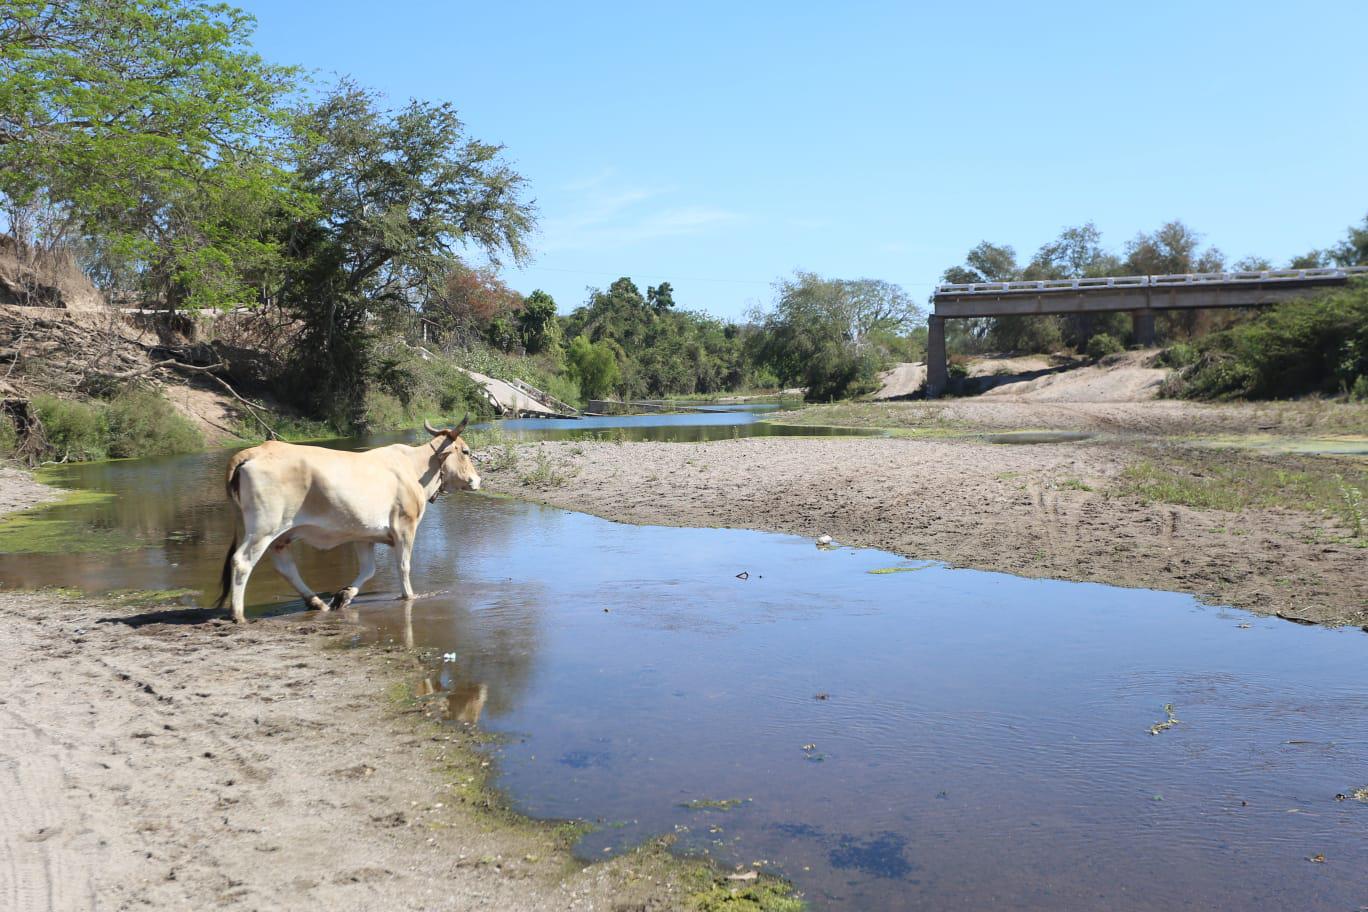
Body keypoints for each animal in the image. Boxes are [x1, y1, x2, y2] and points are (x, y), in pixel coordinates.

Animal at [210, 418, 484, 623]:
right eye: (466, 451)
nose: (477, 480)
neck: (416, 469)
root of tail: (254, 450)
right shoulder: (405, 526)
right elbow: (403, 565)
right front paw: (409, 597)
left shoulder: (364, 535)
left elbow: (368, 568)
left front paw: (344, 596)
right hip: (263, 528)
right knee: (242, 562)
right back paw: (238, 615)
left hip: (279, 535)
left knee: (285, 566)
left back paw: (316, 602)